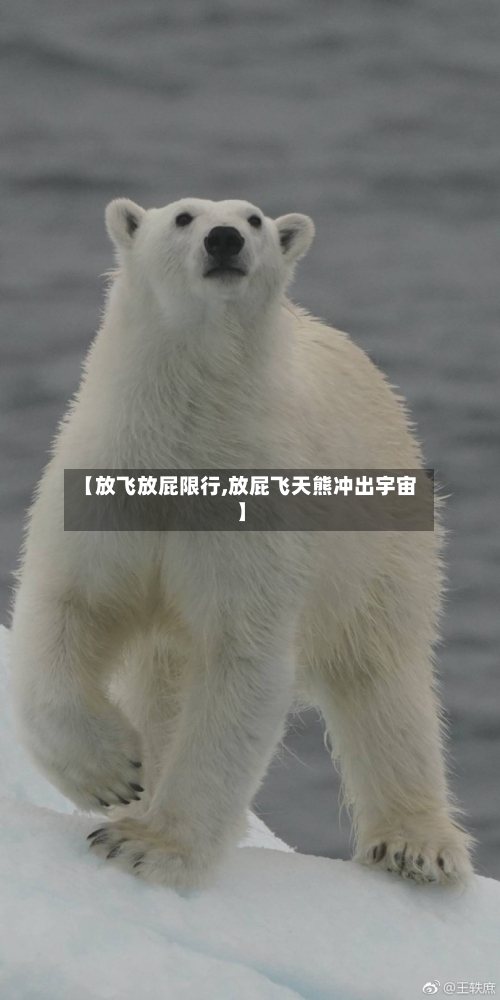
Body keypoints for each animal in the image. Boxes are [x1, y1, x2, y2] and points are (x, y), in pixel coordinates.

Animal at [10, 197, 473, 890]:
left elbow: (239, 657)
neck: (186, 436)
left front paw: (147, 845)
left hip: (381, 545)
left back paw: (415, 847)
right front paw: (115, 775)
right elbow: (68, 606)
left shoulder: (256, 513)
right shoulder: (107, 480)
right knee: (165, 677)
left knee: (383, 679)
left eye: (255, 219)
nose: (225, 239)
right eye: (182, 217)